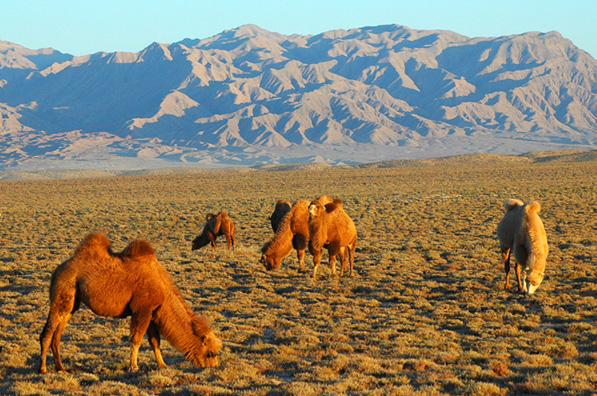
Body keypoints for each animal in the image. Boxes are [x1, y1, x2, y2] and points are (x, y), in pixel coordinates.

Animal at [38, 230, 222, 372]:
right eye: (210, 353)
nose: (212, 366)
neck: (162, 286)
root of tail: (57, 270)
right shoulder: (141, 309)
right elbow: (136, 339)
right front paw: (133, 366)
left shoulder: (153, 312)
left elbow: (155, 342)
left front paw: (162, 365)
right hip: (63, 292)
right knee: (47, 332)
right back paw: (43, 369)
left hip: (72, 303)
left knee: (57, 335)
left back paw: (61, 368)